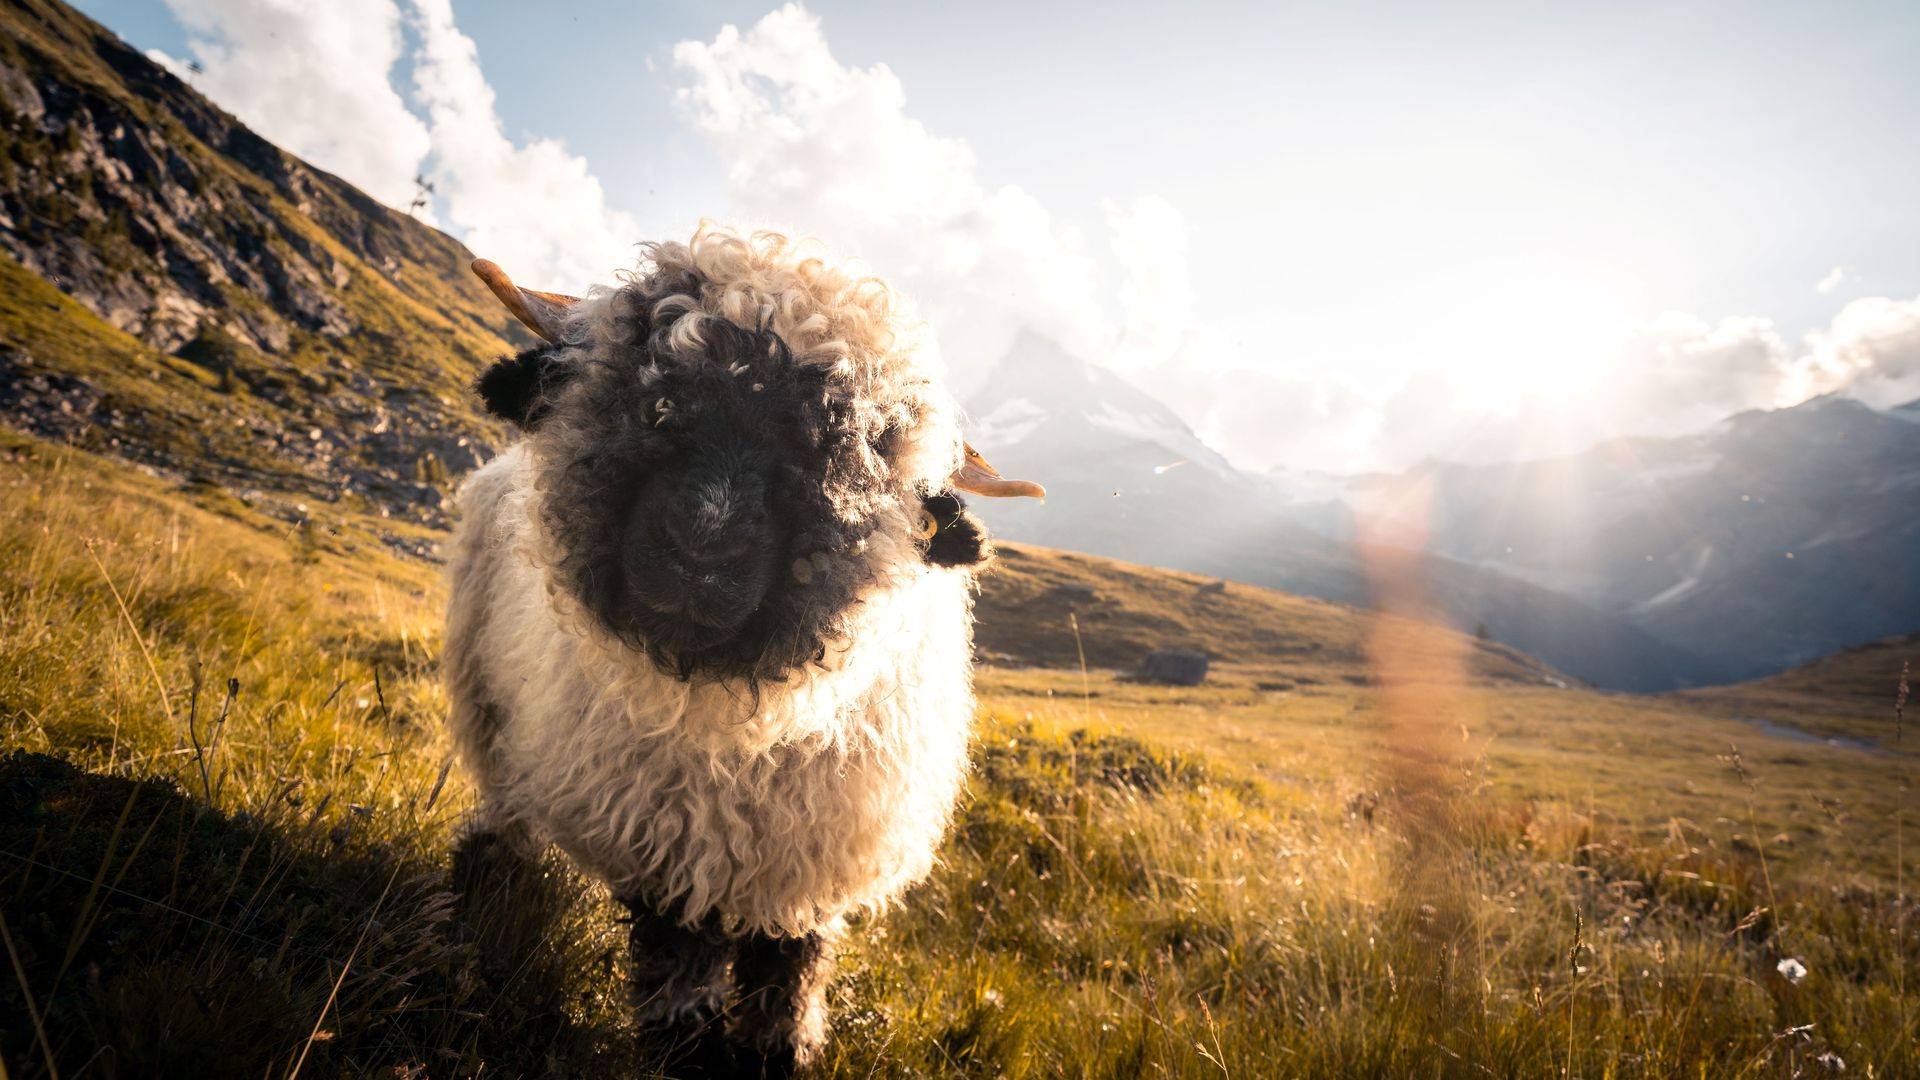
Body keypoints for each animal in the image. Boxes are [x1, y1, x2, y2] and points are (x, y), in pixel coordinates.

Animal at [443, 225, 1043, 1074]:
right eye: (655, 400)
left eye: (855, 452)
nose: (700, 552)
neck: (743, 730)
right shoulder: (664, 849)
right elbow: (682, 985)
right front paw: (689, 1050)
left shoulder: (806, 868)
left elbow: (786, 983)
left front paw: (778, 1049)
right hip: (497, 710)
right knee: (508, 803)